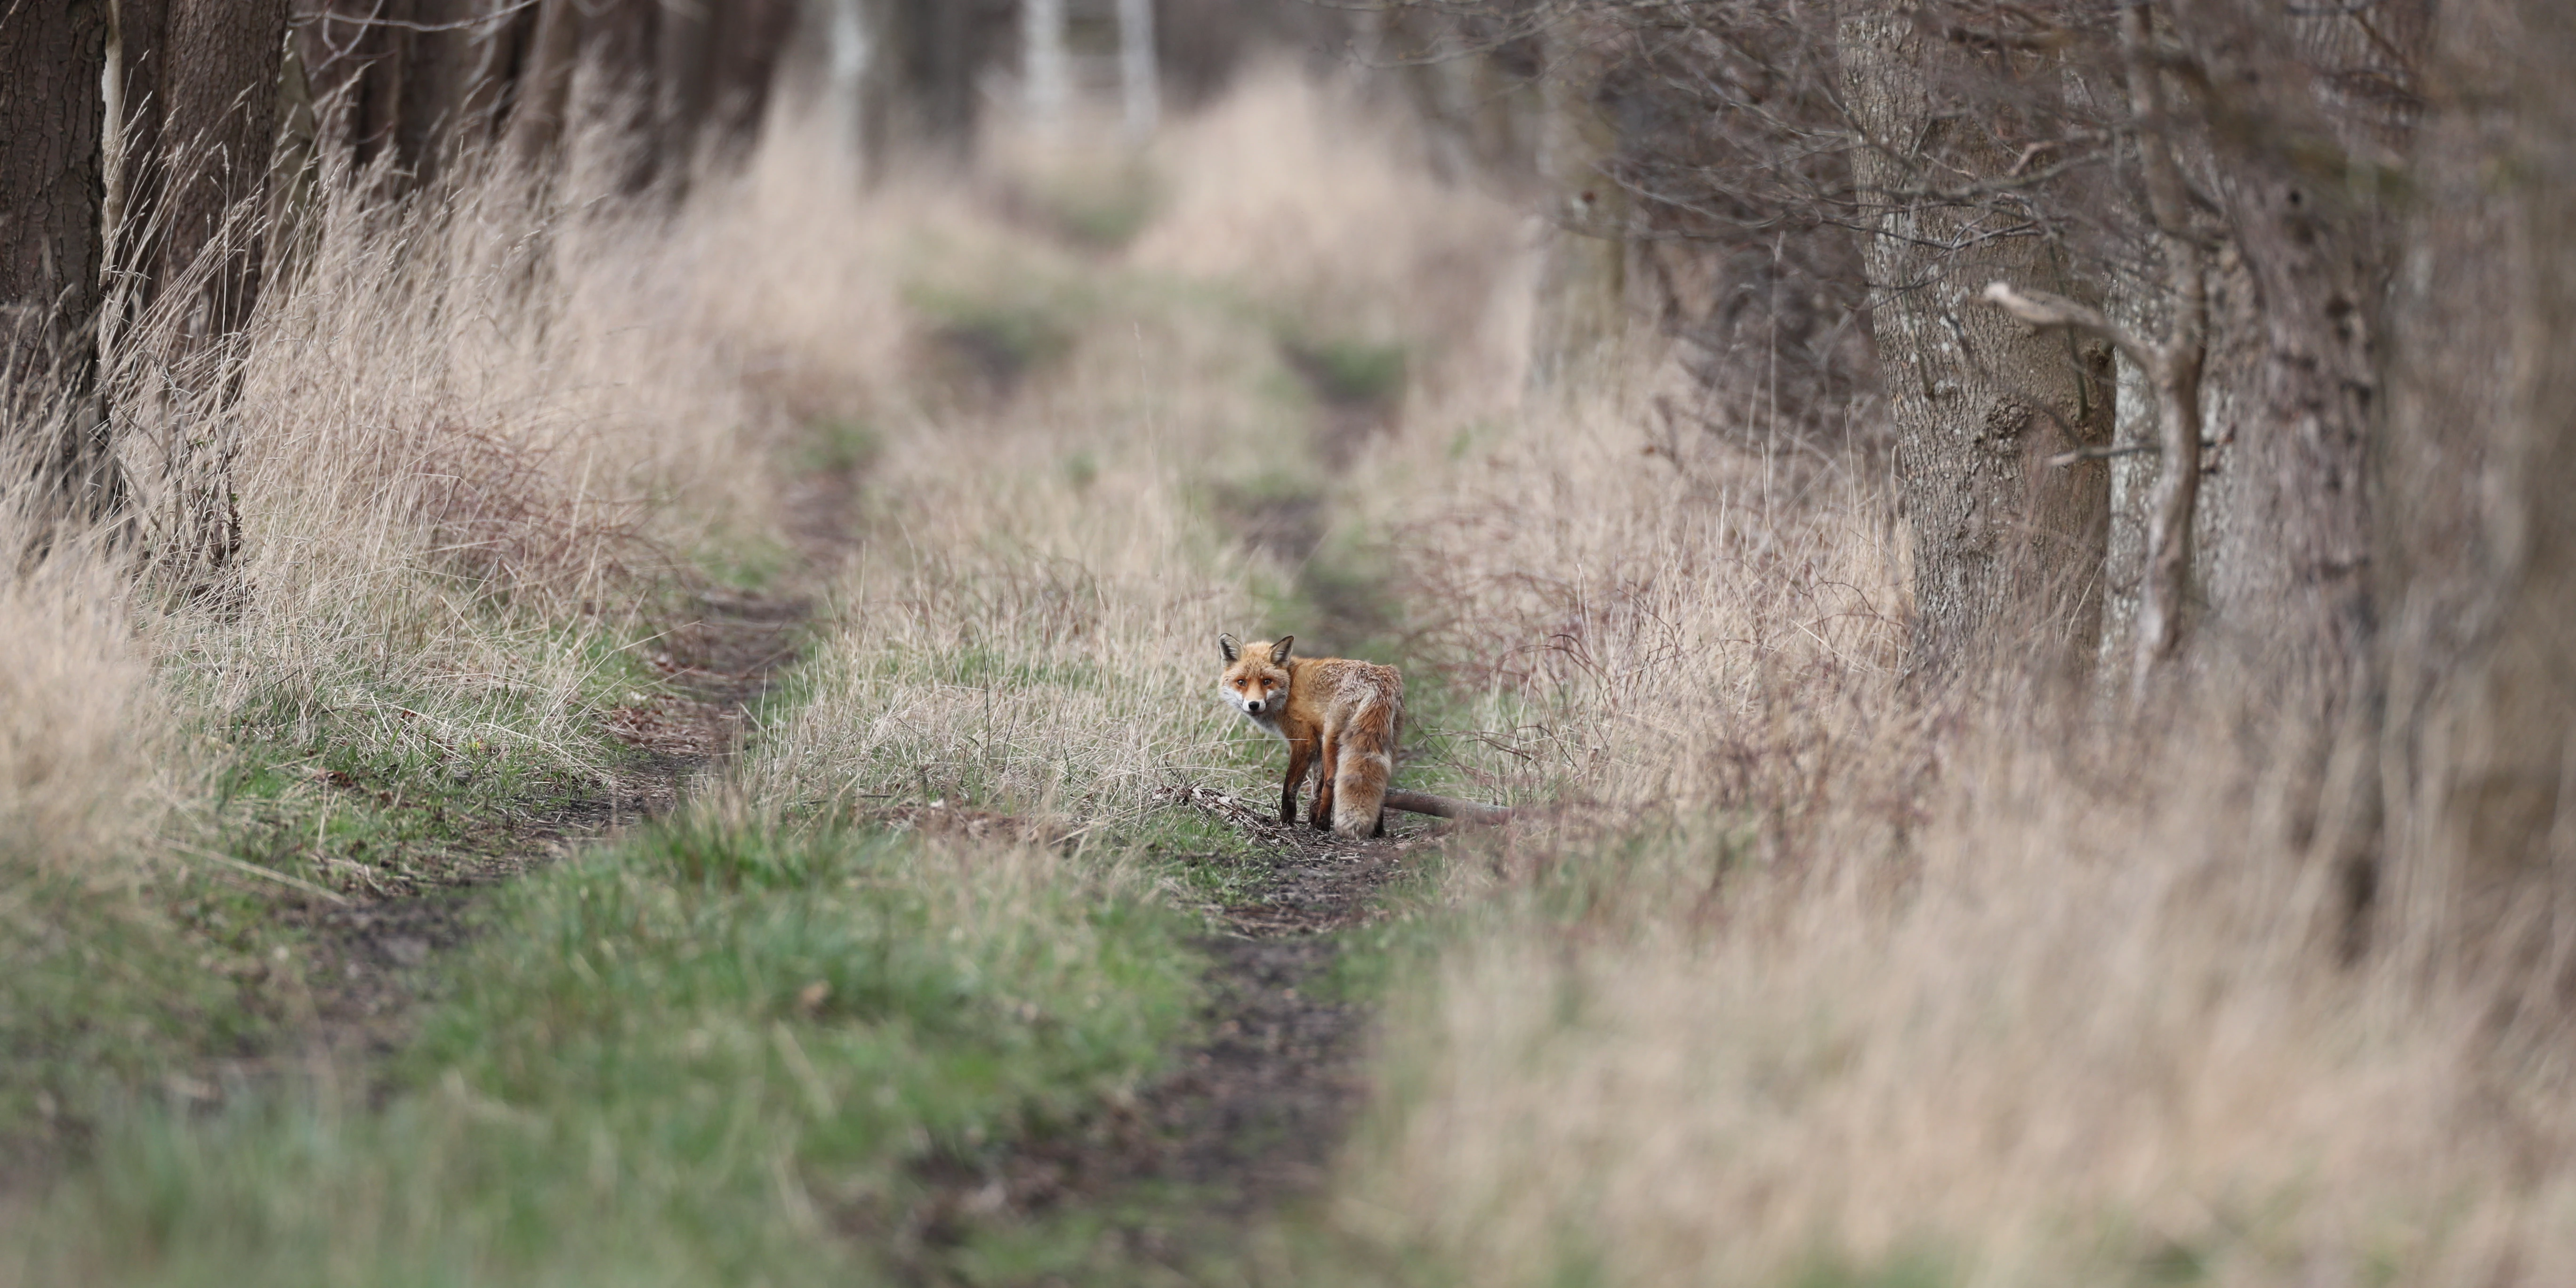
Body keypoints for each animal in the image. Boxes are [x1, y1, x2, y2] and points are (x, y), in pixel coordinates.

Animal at [1216, 633, 1515, 837]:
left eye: (1267, 681)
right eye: (1242, 682)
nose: (1253, 705)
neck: (1288, 689)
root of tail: (1380, 680)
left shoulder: (1306, 741)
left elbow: (1291, 789)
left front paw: (1288, 823)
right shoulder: (1316, 746)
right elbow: (1313, 791)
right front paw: (1310, 819)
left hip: (1333, 738)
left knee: (1333, 781)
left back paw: (1325, 826)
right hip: (1388, 742)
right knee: (1377, 783)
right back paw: (1375, 831)